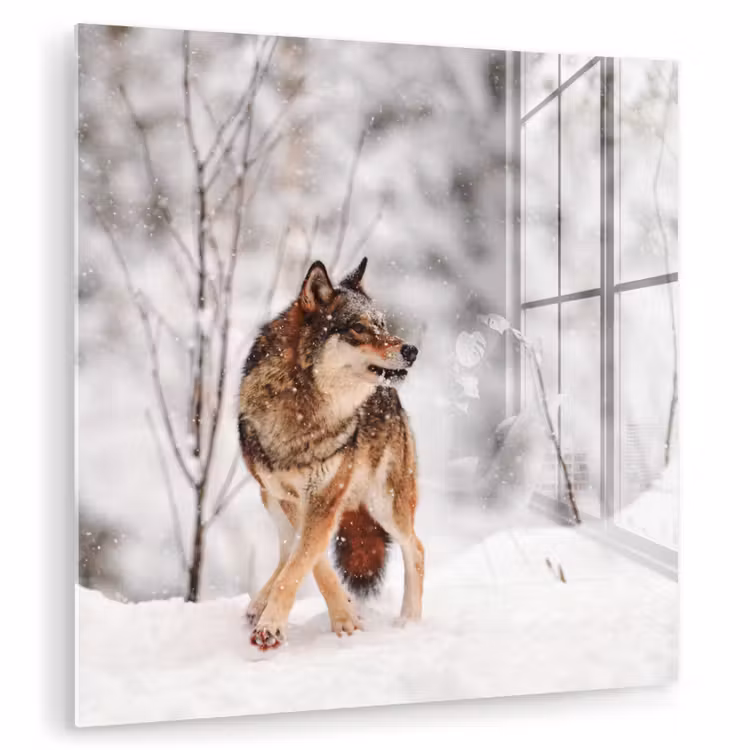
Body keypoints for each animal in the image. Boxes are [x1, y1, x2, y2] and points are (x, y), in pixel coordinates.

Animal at [238, 257, 423, 650]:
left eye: (382, 324)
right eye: (358, 328)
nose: (411, 350)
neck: (305, 410)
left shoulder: (325, 497)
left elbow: (303, 561)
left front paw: (274, 626)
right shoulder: (293, 499)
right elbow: (310, 561)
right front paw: (344, 616)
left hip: (386, 504)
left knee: (416, 549)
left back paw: (409, 622)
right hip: (270, 499)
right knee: (285, 549)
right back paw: (259, 602)